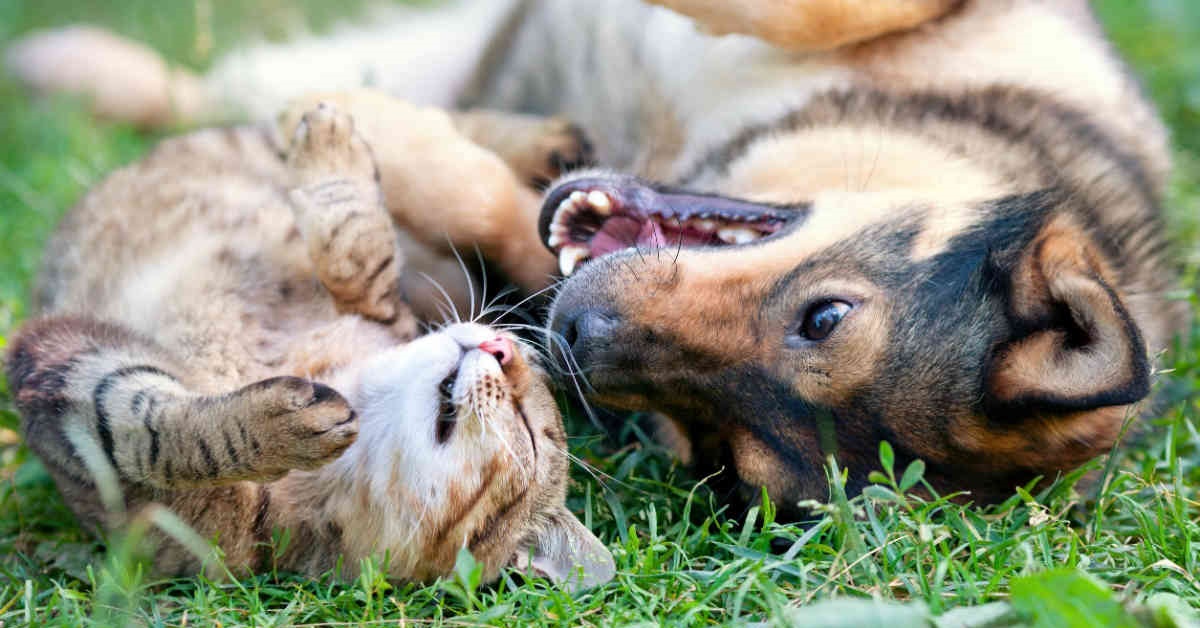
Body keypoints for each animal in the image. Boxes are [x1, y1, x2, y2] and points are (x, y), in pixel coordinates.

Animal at [7, 0, 1190, 518]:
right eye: (825, 315)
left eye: (721, 451)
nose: (574, 336)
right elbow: (823, 5)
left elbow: (482, 206)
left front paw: (396, 146)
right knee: (206, 77)